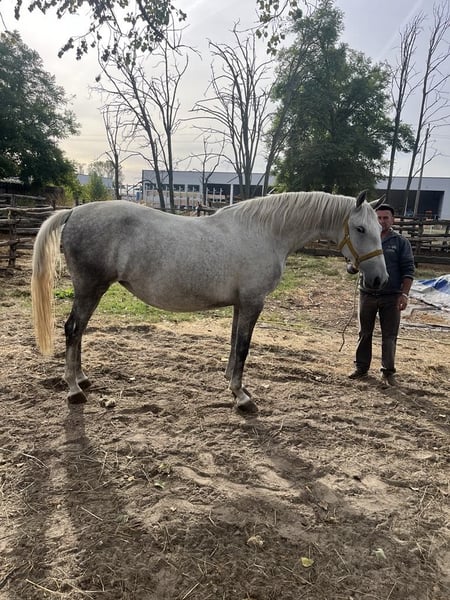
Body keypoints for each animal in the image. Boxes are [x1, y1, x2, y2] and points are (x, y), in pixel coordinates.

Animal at [31, 190, 388, 412]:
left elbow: (234, 344)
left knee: (78, 332)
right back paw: (74, 390)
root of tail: (74, 211)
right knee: (72, 329)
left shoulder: (241, 304)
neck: (265, 232)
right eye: (360, 228)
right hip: (90, 289)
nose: (379, 280)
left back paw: (81, 379)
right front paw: (242, 397)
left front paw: (232, 383)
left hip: (91, 291)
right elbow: (243, 347)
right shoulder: (253, 302)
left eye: (378, 228)